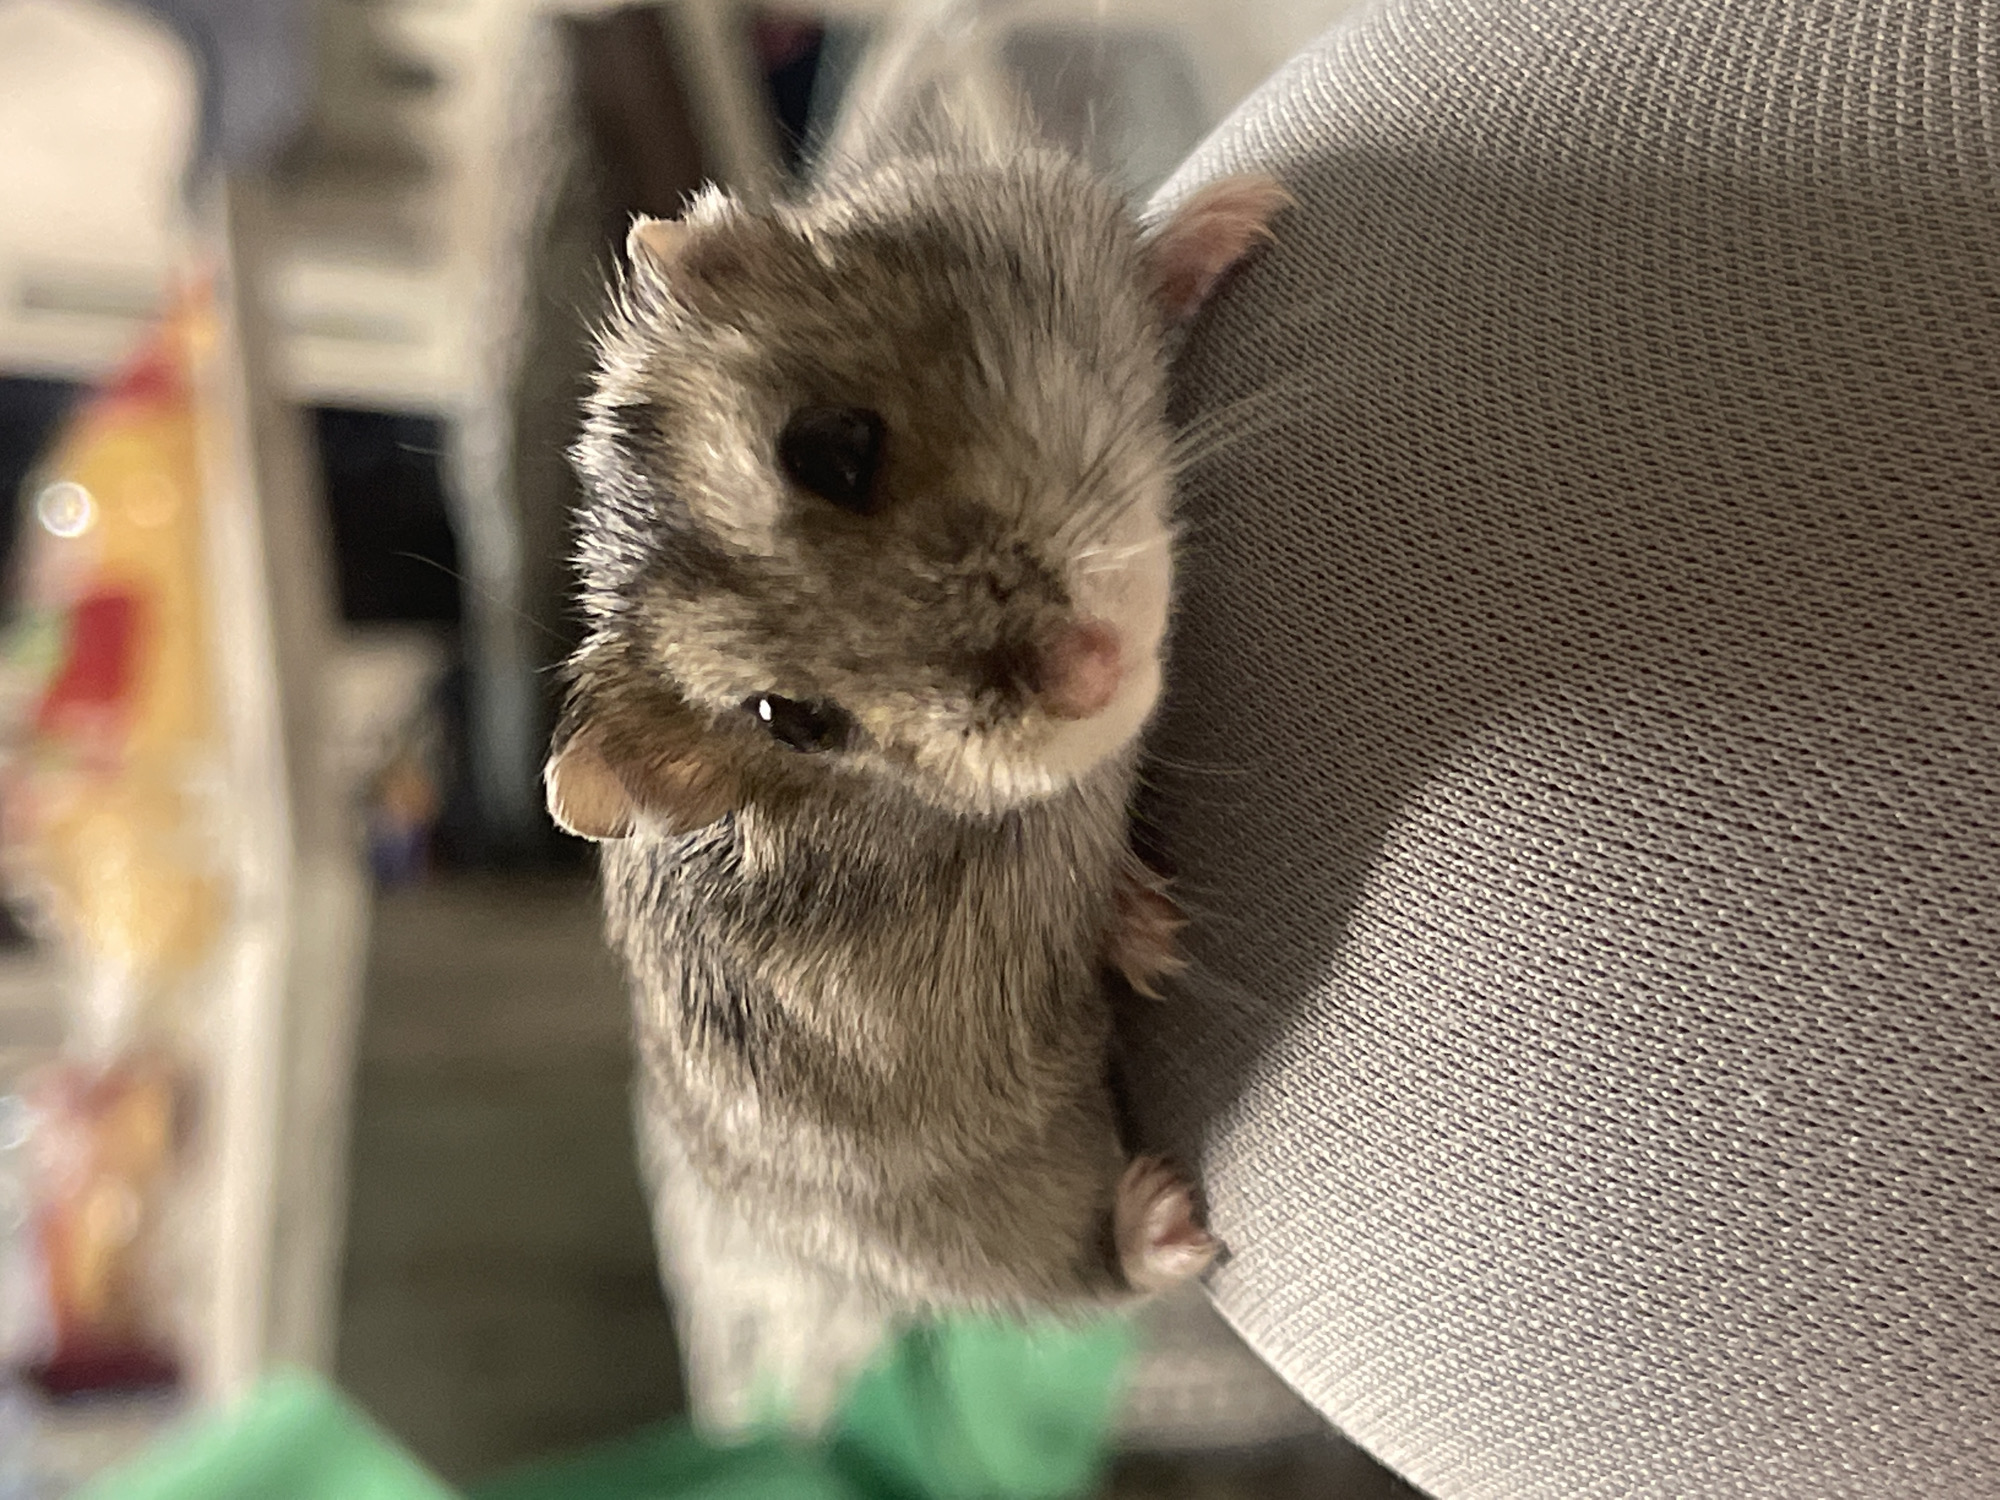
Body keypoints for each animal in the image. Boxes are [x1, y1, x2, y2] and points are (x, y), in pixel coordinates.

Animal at [547, 128, 1287, 1311]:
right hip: (972, 1228)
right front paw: (1157, 940)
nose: (1091, 672)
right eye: (793, 720)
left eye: (829, 447)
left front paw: (1248, 210)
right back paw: (1171, 1217)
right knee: (1090, 1275)